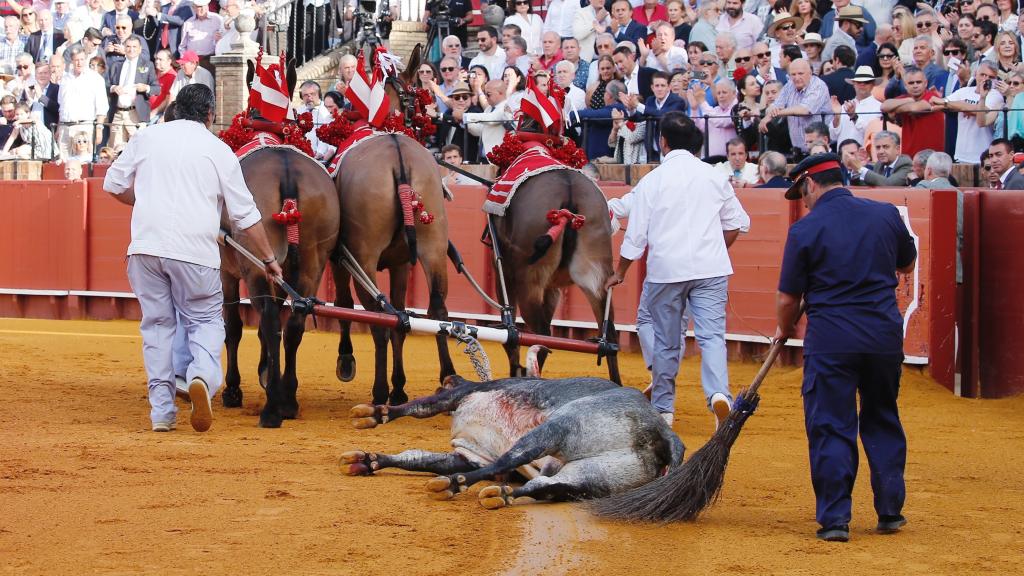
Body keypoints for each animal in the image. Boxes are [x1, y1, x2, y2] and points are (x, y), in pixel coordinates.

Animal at [339, 375, 684, 504]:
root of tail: (661, 431)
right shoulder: (470, 455)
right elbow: (417, 458)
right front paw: (367, 460)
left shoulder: (462, 395)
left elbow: (421, 407)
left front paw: (375, 413)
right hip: (595, 477)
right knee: (546, 487)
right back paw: (501, 495)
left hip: (557, 428)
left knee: (511, 459)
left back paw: (452, 485)